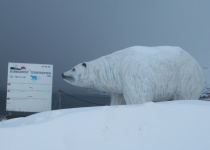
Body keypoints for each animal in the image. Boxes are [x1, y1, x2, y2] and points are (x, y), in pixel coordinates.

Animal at [61, 46, 204, 105]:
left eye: (73, 69)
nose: (63, 73)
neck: (118, 65)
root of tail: (196, 62)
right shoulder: (118, 83)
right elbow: (118, 98)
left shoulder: (134, 75)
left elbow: (138, 98)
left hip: (186, 75)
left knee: (184, 94)